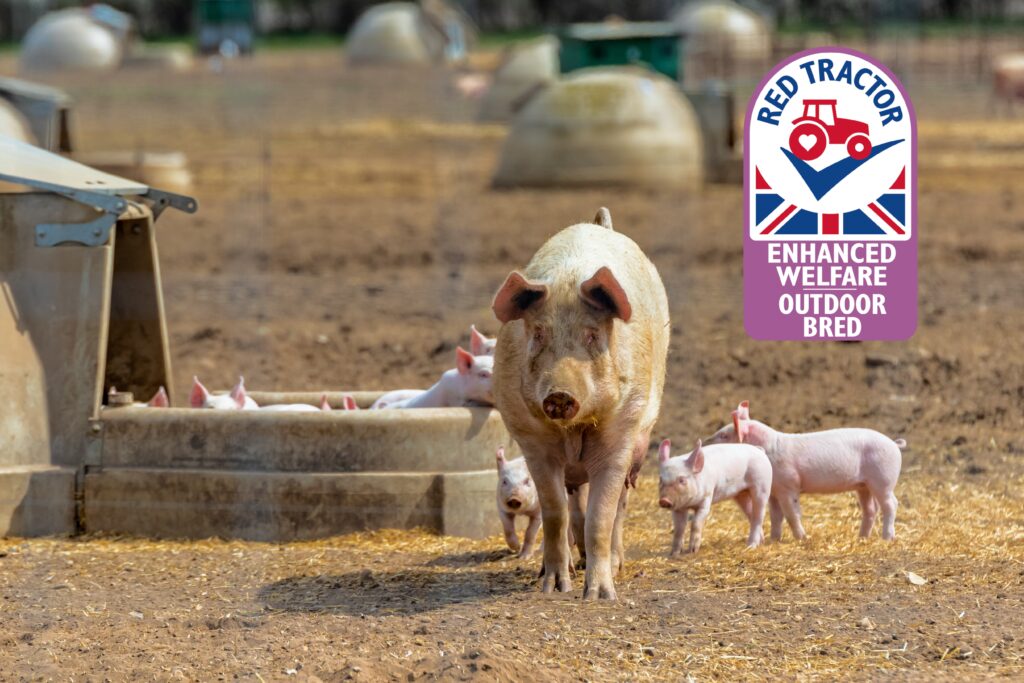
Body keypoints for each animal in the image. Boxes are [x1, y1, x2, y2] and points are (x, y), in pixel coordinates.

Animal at [491, 207, 669, 600]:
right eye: (538, 333)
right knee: (574, 500)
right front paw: (554, 587)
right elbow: (554, 511)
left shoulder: (621, 431)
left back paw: (615, 565)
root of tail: (599, 224)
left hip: (640, 437)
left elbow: (602, 515)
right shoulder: (531, 439)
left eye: (592, 334)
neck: (572, 431)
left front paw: (600, 595)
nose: (559, 393)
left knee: (620, 505)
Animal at [705, 401, 905, 541]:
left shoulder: (789, 485)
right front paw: (773, 540)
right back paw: (862, 537)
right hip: (863, 485)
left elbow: (792, 514)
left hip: (883, 479)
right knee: (870, 509)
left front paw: (802, 538)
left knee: (891, 504)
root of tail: (894, 444)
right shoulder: (773, 490)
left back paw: (887, 538)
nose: (705, 442)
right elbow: (776, 516)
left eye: (724, 435)